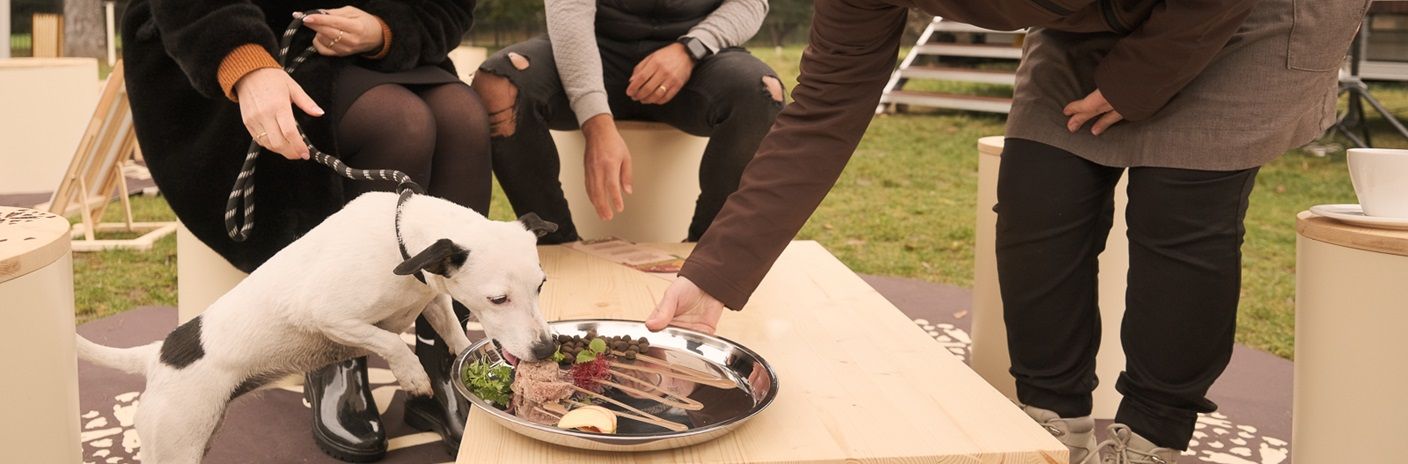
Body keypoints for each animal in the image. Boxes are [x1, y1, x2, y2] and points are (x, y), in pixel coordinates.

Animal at [77, 191, 557, 461]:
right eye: (498, 299)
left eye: (541, 285)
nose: (546, 349)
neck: (398, 239)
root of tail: (157, 354)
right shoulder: (327, 315)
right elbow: (390, 342)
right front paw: (412, 375)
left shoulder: (434, 296)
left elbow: (452, 334)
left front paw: (470, 360)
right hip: (174, 443)